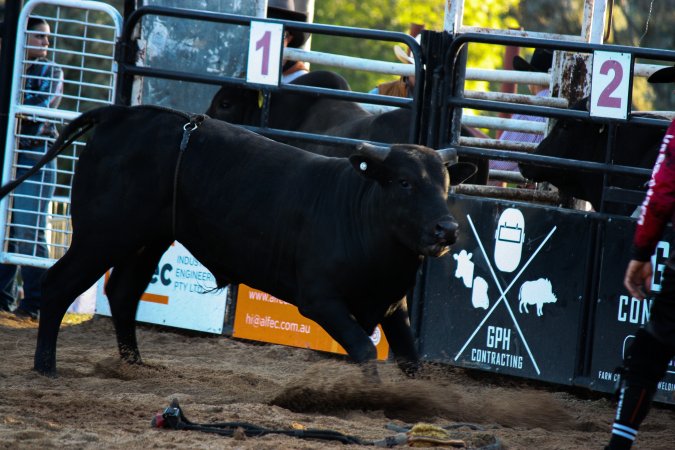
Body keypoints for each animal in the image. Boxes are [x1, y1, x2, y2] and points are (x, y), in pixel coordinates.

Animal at [0, 104, 475, 380]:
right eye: (404, 182)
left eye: (445, 183)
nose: (446, 230)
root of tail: (123, 114)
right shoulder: (321, 299)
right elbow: (363, 350)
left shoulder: (393, 306)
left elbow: (410, 358)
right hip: (103, 233)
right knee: (60, 284)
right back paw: (46, 367)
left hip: (147, 238)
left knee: (122, 291)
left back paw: (134, 365)